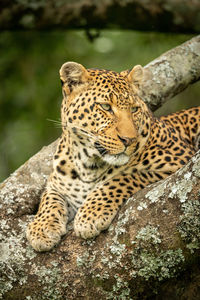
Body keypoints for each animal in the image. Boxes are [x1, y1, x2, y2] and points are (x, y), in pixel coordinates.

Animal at [26, 62, 200, 252]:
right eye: (106, 107)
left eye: (134, 109)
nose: (129, 140)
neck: (88, 164)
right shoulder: (57, 183)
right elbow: (49, 199)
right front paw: (41, 229)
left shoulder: (179, 161)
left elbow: (123, 178)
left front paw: (90, 214)